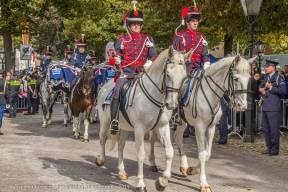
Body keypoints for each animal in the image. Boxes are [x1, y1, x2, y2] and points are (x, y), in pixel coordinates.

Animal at [95, 46, 192, 192]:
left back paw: (121, 172)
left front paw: (162, 182)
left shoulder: (162, 128)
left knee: (120, 145)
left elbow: (169, 152)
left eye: (183, 76)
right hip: (106, 122)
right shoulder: (140, 129)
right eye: (168, 74)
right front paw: (141, 184)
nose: (172, 105)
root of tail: (105, 85)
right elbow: (140, 155)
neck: (156, 96)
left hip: (126, 127)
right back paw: (101, 160)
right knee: (102, 139)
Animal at [147, 54, 253, 191]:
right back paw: (152, 163)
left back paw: (184, 165)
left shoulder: (211, 128)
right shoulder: (200, 128)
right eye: (235, 78)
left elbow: (207, 154)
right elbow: (202, 155)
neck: (210, 94)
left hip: (182, 121)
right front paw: (203, 183)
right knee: (152, 139)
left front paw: (192, 170)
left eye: (249, 79)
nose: (242, 106)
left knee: (177, 136)